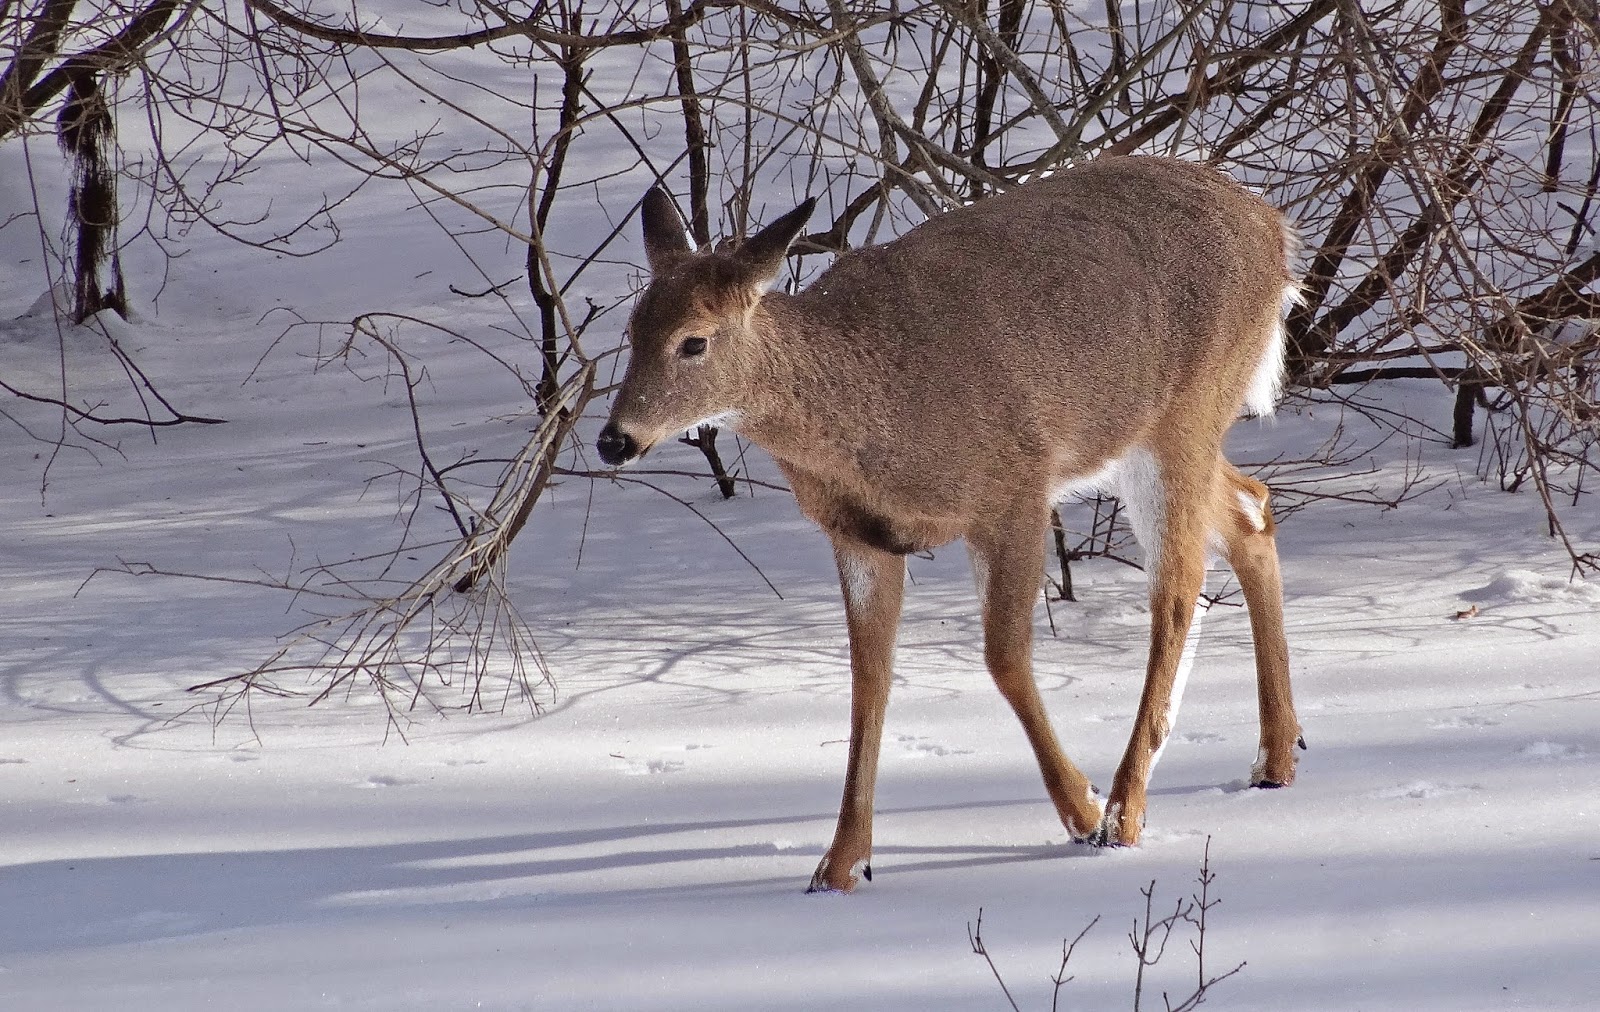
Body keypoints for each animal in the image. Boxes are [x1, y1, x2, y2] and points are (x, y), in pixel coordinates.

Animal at [596, 155, 1304, 893]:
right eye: (631, 331)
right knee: (1253, 507)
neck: (868, 412)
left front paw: (1080, 810)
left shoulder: (1014, 491)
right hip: (1146, 439)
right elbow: (869, 679)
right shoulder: (860, 535)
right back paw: (1274, 760)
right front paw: (842, 864)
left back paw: (1125, 813)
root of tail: (1276, 230)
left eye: (693, 342)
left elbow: (1004, 657)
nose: (615, 440)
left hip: (1183, 413)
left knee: (1177, 587)